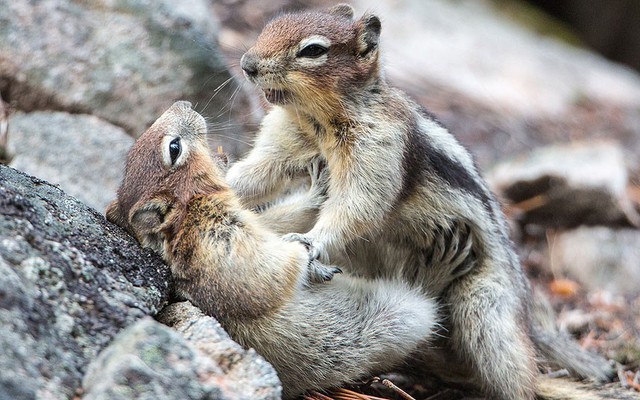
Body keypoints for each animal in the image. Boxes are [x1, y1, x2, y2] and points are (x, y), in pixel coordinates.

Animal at [106, 101, 444, 398]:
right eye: (173, 148)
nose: (184, 103)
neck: (191, 208)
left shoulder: (253, 221)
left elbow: (274, 223)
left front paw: (318, 189)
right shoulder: (220, 239)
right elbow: (277, 271)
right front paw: (310, 259)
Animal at [226, 3, 616, 400]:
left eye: (313, 51)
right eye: (269, 26)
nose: (247, 64)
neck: (317, 119)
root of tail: (524, 305)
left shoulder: (380, 150)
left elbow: (358, 206)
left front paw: (309, 241)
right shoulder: (283, 138)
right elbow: (255, 174)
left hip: (486, 308)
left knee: (515, 375)